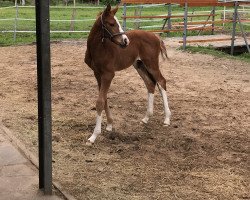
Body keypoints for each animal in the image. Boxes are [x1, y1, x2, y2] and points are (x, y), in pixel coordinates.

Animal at [85, 3, 171, 144]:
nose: (126, 41)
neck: (98, 48)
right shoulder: (97, 73)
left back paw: (167, 119)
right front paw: (109, 125)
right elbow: (104, 98)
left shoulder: (108, 74)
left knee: (161, 81)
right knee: (150, 83)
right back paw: (146, 117)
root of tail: (157, 37)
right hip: (139, 64)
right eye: (111, 24)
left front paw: (94, 135)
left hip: (151, 63)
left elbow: (100, 101)